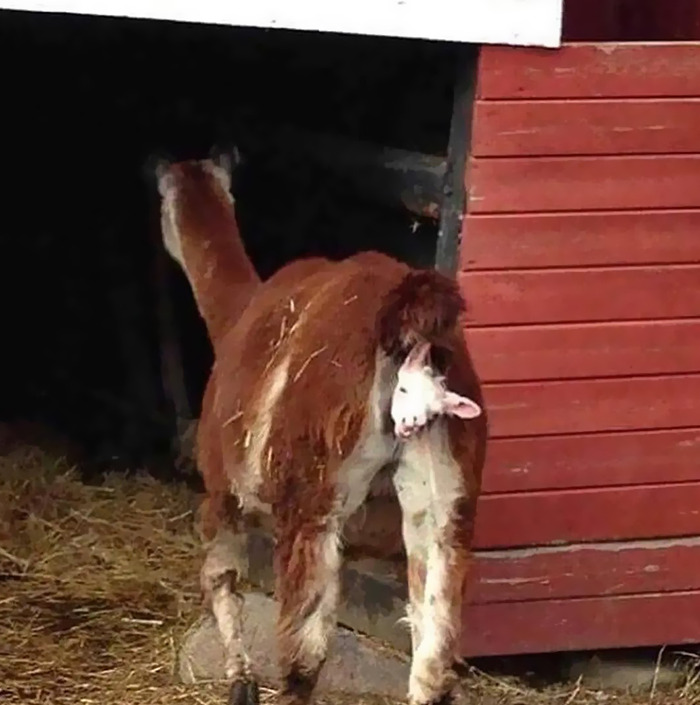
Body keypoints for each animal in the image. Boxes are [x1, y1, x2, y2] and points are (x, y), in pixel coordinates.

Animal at [154, 153, 488, 705]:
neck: (235, 316)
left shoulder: (222, 485)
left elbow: (221, 578)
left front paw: (240, 681)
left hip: (312, 492)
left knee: (304, 655)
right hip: (445, 493)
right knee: (432, 659)